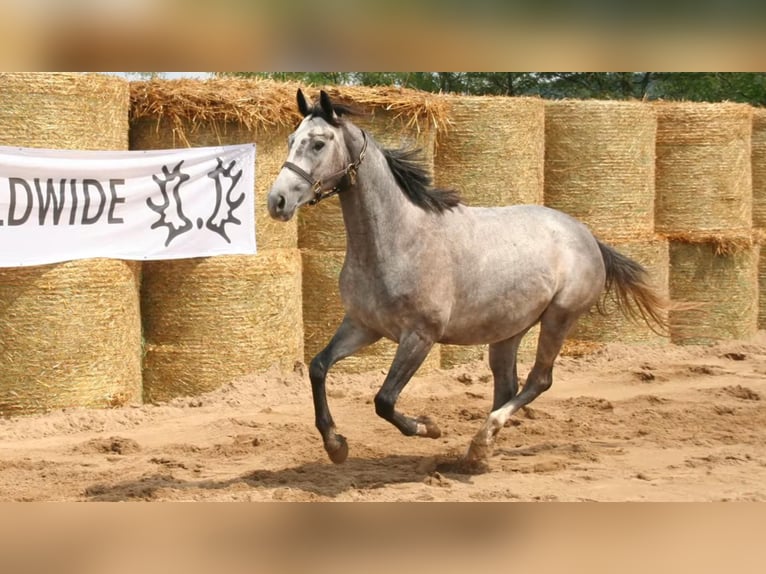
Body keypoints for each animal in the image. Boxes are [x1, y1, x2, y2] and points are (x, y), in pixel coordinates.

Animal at [268, 90, 668, 472]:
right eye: (290, 140)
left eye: (318, 143)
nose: (277, 201)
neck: (398, 238)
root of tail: (587, 236)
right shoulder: (363, 325)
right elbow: (319, 367)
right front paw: (335, 445)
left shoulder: (420, 336)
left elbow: (384, 400)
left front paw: (429, 427)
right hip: (509, 330)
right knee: (508, 385)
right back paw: (477, 454)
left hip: (559, 317)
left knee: (539, 380)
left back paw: (480, 442)